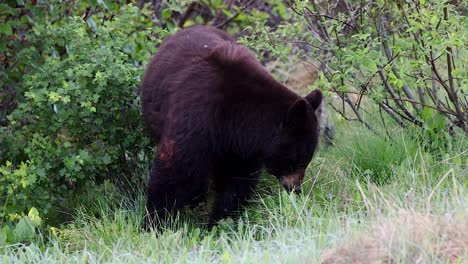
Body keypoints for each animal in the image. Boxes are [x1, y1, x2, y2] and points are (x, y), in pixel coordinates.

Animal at [140, 25, 322, 227]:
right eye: (296, 159)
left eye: (307, 158)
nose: (295, 189)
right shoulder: (197, 117)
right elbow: (175, 169)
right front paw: (155, 222)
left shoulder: (242, 148)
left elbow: (236, 181)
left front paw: (220, 221)